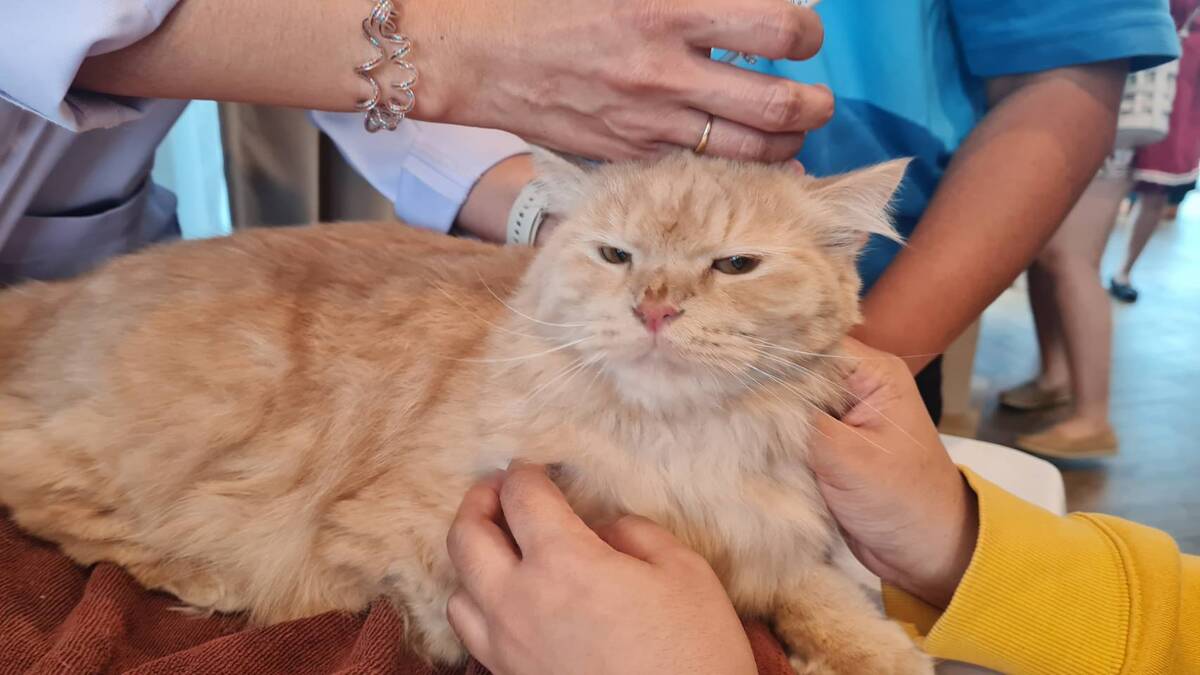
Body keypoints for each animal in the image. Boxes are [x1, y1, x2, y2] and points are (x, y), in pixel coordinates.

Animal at [0, 150, 931, 675]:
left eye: (735, 265)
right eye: (616, 255)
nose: (655, 308)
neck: (673, 449)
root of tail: (54, 295)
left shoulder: (771, 535)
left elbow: (826, 597)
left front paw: (883, 655)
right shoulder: (394, 545)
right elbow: (425, 611)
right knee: (42, 496)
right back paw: (197, 577)